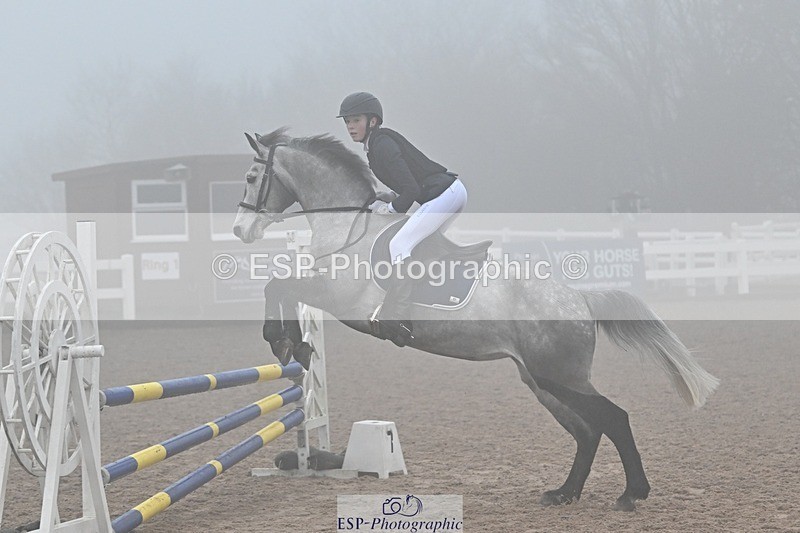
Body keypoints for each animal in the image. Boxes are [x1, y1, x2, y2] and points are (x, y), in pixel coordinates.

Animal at [232, 128, 719, 511]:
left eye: (253, 177)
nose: (240, 231)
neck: (346, 228)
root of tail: (579, 300)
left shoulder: (338, 295)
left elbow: (279, 285)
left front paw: (286, 342)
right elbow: (281, 285)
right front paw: (294, 345)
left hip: (559, 375)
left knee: (612, 419)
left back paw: (631, 494)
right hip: (540, 380)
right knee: (587, 432)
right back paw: (564, 493)